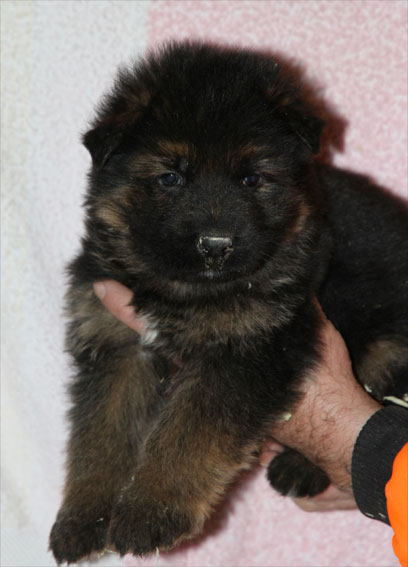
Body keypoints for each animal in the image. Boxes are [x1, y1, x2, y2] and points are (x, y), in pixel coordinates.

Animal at [49, 42, 408, 563]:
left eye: (251, 179)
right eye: (171, 177)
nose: (215, 245)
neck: (183, 289)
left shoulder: (246, 348)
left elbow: (188, 434)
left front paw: (150, 510)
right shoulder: (117, 346)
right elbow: (99, 435)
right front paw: (82, 519)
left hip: (389, 342)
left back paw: (301, 467)